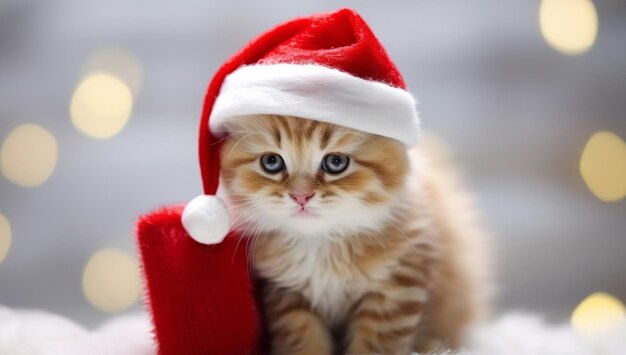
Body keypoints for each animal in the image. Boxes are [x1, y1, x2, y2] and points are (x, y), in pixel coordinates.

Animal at [218, 115, 488, 354]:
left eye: (336, 162)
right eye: (272, 162)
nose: (301, 196)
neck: (322, 242)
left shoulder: (396, 288)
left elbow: (376, 346)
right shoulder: (287, 295)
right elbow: (304, 341)